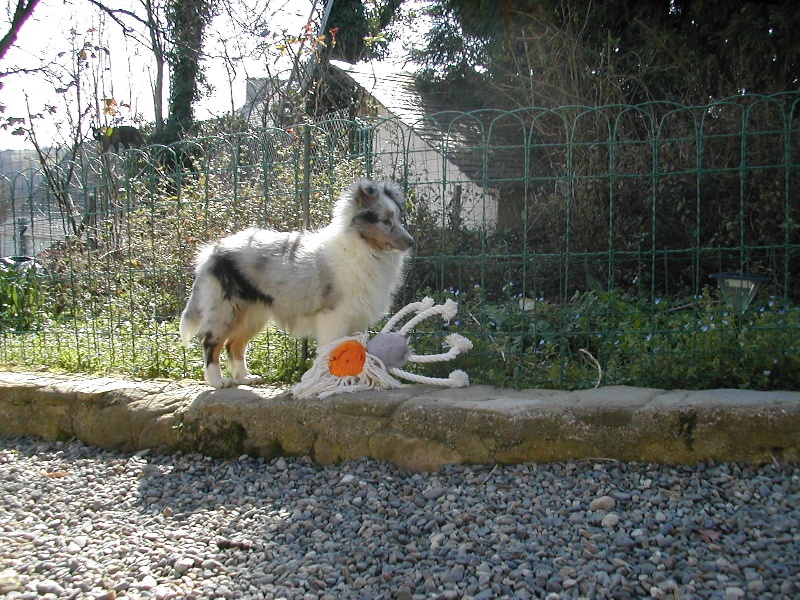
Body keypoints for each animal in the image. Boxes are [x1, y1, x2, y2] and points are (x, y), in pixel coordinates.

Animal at [177, 177, 412, 390]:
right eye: (385, 221)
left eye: (398, 218)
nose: (411, 242)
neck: (364, 248)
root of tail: (212, 252)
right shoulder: (333, 316)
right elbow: (333, 348)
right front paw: (334, 380)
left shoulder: (358, 316)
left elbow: (356, 348)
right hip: (226, 309)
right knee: (211, 343)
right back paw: (217, 381)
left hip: (253, 313)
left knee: (234, 344)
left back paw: (245, 378)